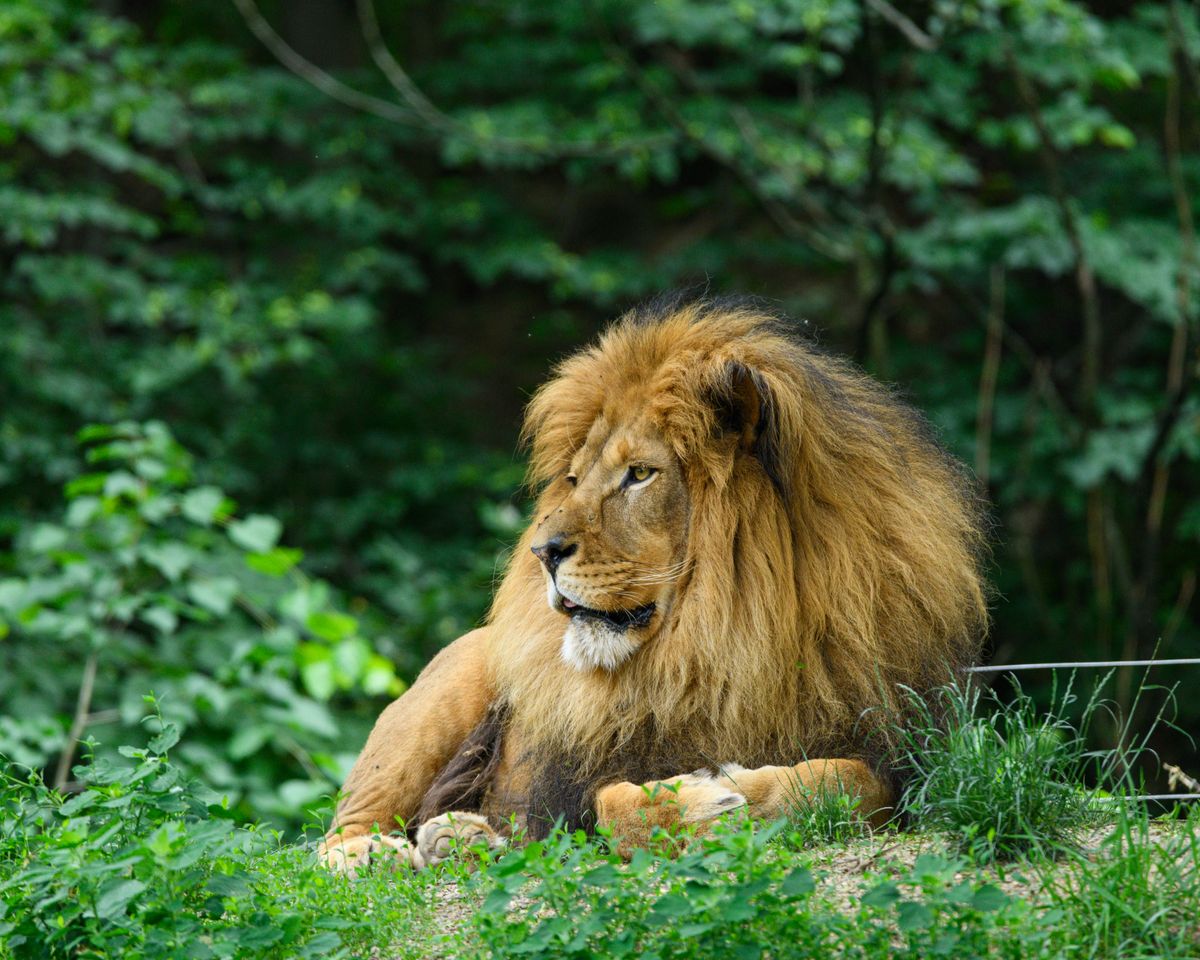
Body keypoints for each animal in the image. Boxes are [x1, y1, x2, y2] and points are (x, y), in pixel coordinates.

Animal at [320, 295, 987, 871]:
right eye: (573, 478)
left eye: (639, 474)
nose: (542, 551)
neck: (717, 646)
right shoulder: (574, 789)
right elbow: (613, 804)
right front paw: (707, 805)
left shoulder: (897, 757)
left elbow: (839, 783)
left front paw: (740, 792)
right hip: (442, 693)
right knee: (341, 826)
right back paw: (373, 854)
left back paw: (460, 839)